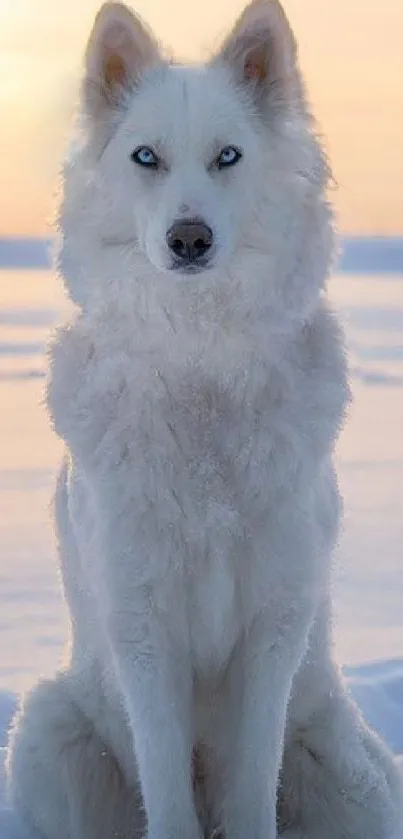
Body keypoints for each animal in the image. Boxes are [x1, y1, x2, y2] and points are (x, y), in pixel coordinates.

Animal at [7, 1, 403, 839]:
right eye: (145, 157)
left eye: (227, 157)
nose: (188, 239)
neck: (201, 363)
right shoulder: (142, 625)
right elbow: (168, 791)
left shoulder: (273, 624)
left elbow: (252, 788)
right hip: (49, 733)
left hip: (353, 777)